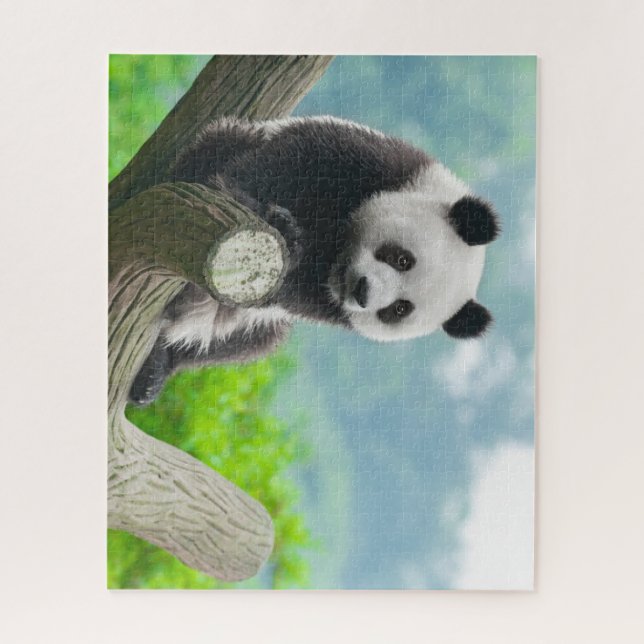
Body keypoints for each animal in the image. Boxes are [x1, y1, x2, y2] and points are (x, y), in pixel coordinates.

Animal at [129, 115, 500, 405]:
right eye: (402, 259)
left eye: (398, 309)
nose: (362, 292)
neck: (338, 250)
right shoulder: (379, 163)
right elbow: (291, 160)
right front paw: (270, 215)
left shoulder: (326, 304)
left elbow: (295, 294)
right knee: (219, 146)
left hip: (237, 321)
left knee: (245, 342)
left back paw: (156, 369)